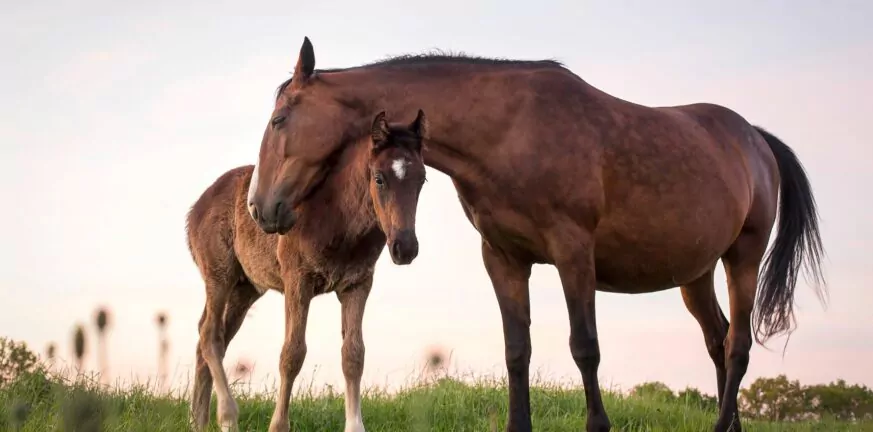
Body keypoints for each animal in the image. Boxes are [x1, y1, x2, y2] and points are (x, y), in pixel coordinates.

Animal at [244, 38, 824, 432]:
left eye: (279, 119)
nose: (259, 207)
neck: (510, 130)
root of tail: (755, 139)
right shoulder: (503, 258)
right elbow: (516, 349)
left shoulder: (574, 254)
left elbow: (584, 346)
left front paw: (598, 425)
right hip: (696, 274)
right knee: (717, 339)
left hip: (743, 257)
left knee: (738, 345)